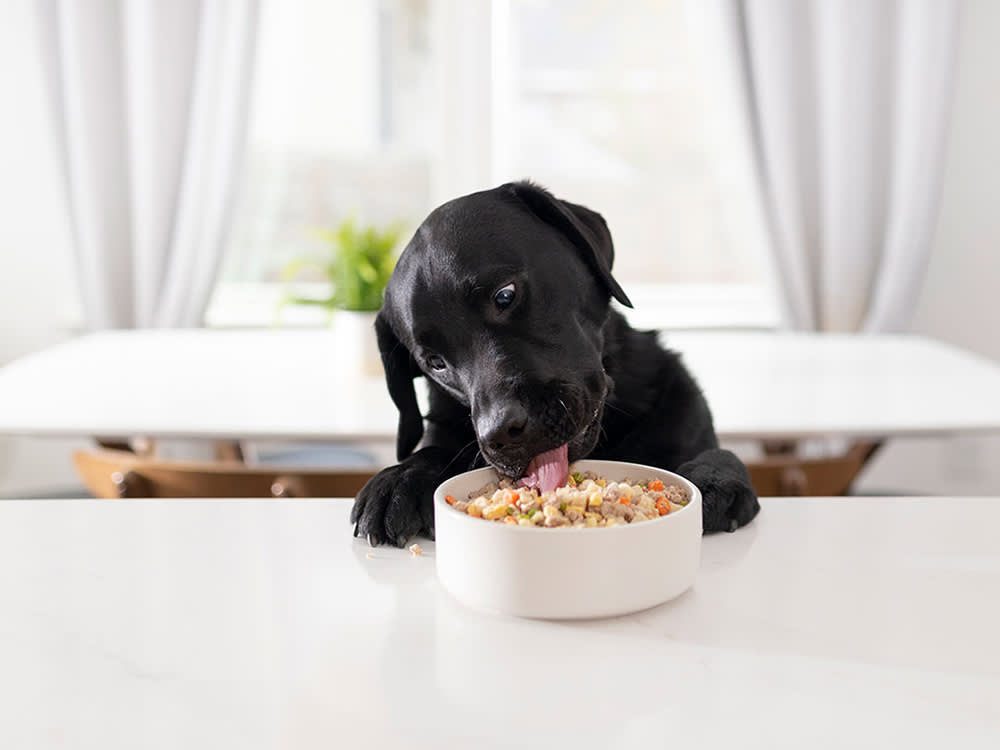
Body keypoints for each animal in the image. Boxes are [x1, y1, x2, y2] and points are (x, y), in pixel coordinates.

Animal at [350, 182, 756, 548]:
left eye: (505, 295)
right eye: (435, 362)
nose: (502, 433)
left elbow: (722, 453)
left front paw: (712, 478)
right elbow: (431, 453)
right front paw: (400, 479)